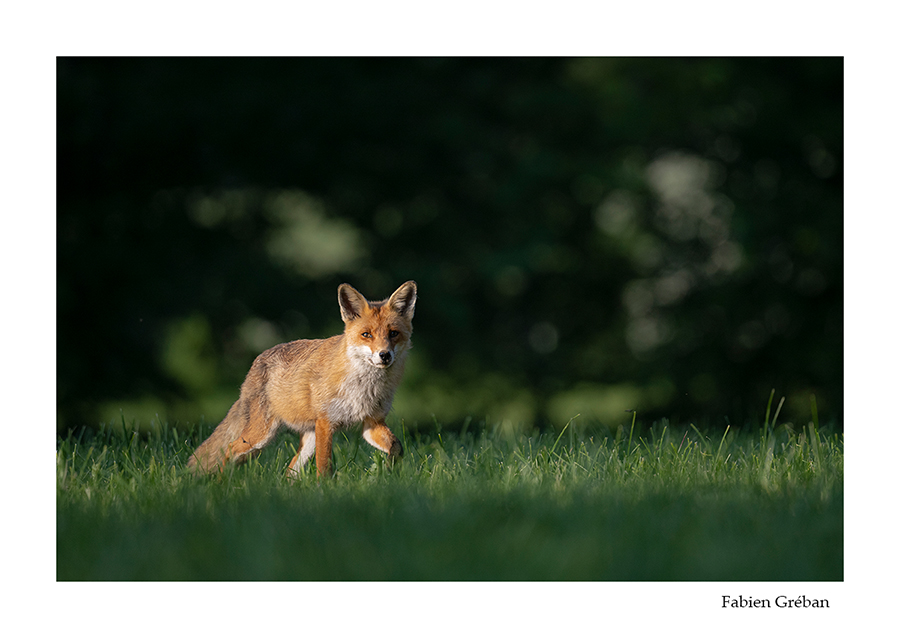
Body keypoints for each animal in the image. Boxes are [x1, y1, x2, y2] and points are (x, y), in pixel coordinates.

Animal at [187, 280, 416, 478]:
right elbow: (324, 467)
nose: (384, 355)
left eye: (393, 333)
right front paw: (326, 490)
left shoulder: (372, 422)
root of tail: (256, 363)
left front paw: (389, 470)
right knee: (229, 450)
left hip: (307, 440)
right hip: (260, 436)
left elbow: (397, 446)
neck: (366, 387)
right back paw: (221, 484)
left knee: (289, 472)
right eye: (366, 334)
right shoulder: (326, 422)